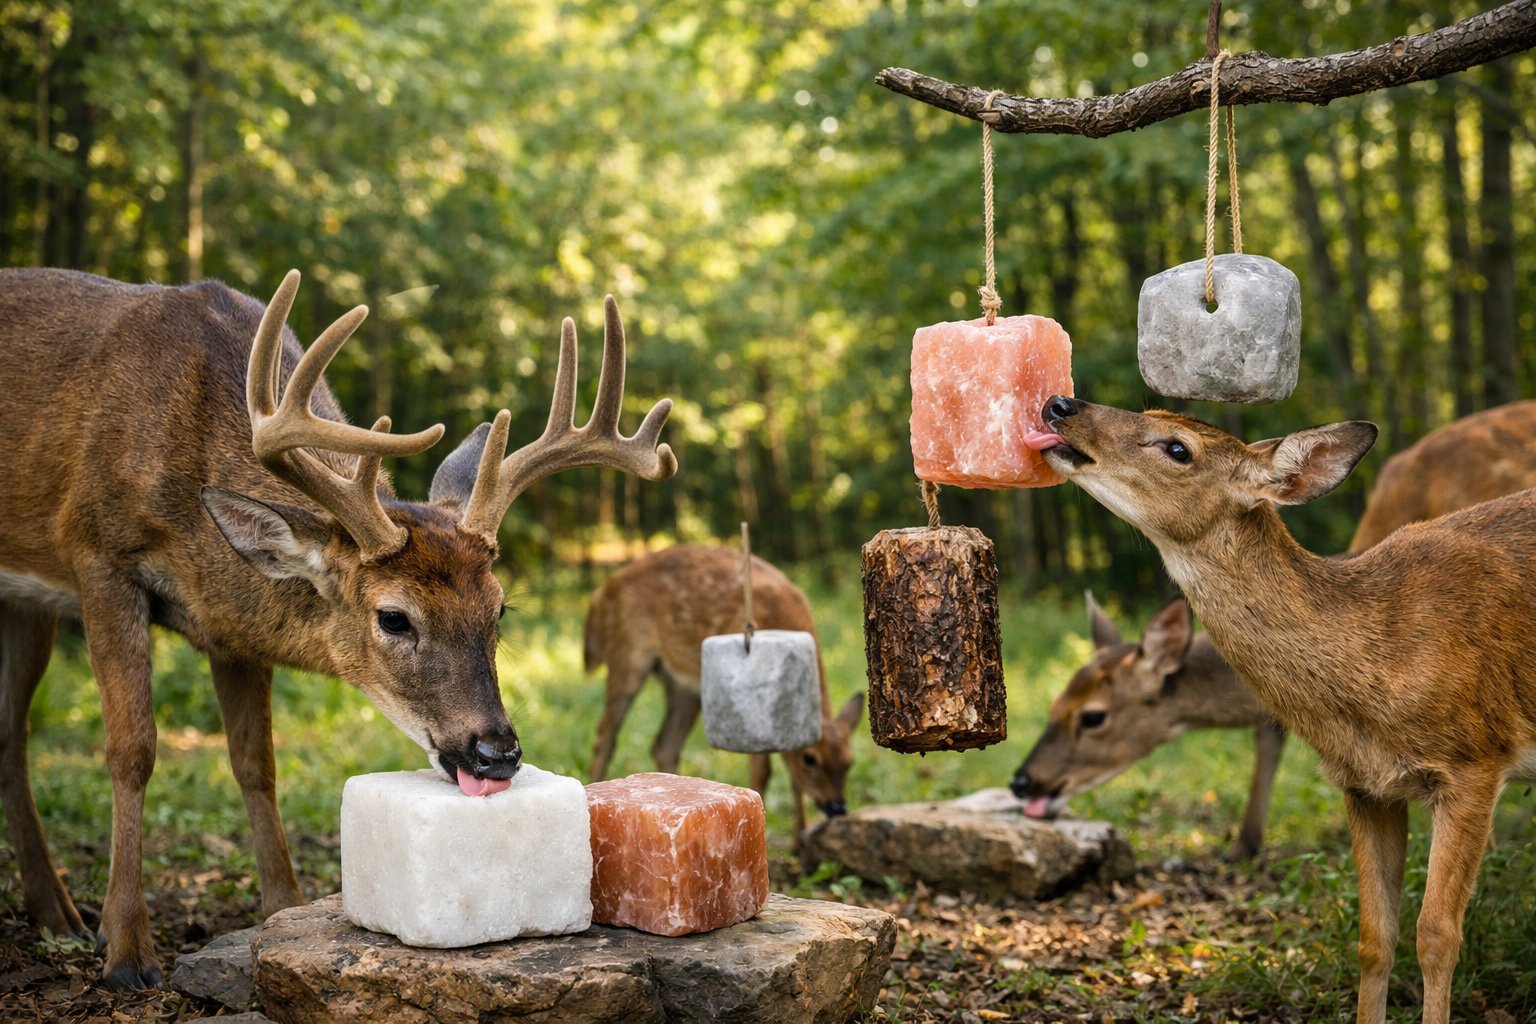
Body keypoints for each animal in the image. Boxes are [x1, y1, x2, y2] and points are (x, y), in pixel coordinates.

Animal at [0, 267, 675, 990]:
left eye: (499, 609)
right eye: (394, 617)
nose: (496, 751)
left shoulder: (231, 627)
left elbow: (255, 763)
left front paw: (282, 907)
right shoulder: (96, 555)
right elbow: (132, 750)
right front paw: (127, 950)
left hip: (25, 604)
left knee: (11, 729)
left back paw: (55, 910)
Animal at [583, 544, 864, 840]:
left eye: (849, 761)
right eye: (810, 759)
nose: (837, 806)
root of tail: (600, 595)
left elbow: (791, 778)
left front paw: (800, 836)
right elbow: (763, 771)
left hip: (684, 686)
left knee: (664, 744)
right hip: (626, 655)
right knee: (605, 737)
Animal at [1024, 394, 1536, 1024]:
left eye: (1178, 448)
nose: (1061, 403)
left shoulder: (1475, 761)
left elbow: (1437, 935)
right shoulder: (1365, 785)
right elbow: (1375, 937)